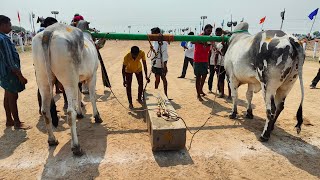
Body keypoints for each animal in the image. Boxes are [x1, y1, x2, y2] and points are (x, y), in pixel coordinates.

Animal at [32, 21, 102, 155]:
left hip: (43, 80)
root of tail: (49, 32)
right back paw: (76, 147)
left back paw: (52, 140)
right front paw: (97, 116)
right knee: (70, 112)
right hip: (69, 81)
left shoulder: (78, 80)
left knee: (45, 111)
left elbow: (79, 96)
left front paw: (80, 113)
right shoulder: (92, 75)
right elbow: (92, 96)